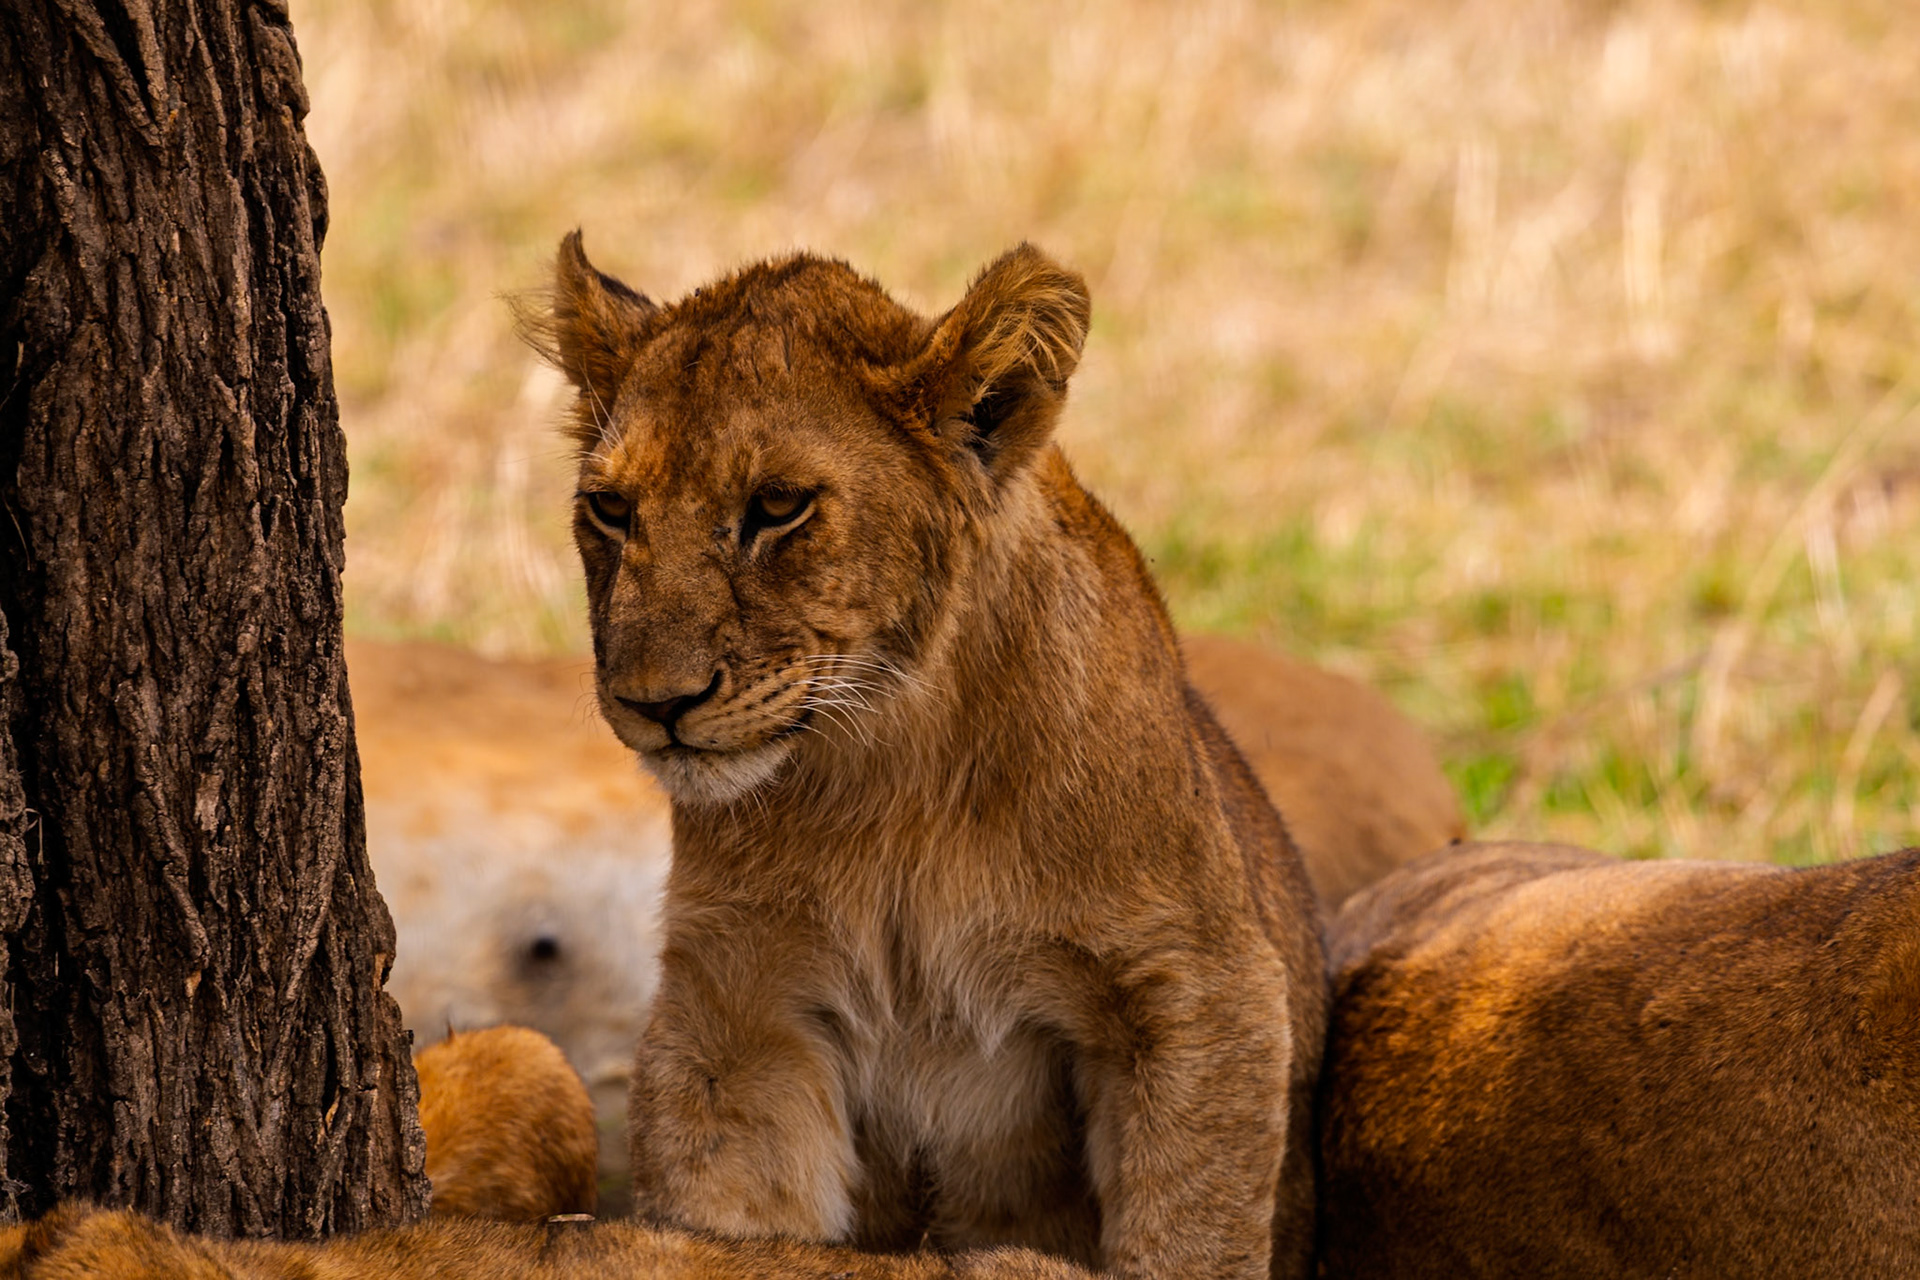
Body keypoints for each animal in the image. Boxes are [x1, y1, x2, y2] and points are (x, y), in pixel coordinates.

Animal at [514, 234, 1328, 1279]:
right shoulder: (737, 1013)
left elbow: (1187, 1233)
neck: (893, 772)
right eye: (612, 509)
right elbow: (727, 1221)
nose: (655, 703)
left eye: (777, 506)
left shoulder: (1196, 984)